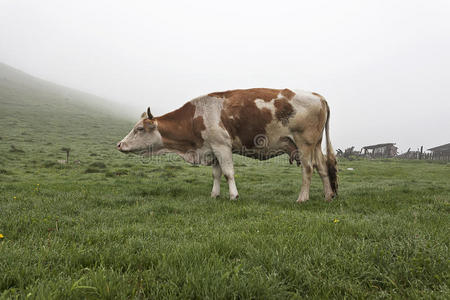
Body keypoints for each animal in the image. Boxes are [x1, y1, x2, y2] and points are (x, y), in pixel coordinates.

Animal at [116, 88, 338, 203]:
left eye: (139, 129)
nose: (120, 144)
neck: (197, 116)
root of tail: (318, 96)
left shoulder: (222, 146)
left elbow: (229, 173)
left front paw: (233, 195)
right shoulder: (212, 148)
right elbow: (216, 174)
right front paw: (214, 194)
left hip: (304, 143)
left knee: (308, 169)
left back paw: (302, 198)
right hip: (315, 144)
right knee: (322, 167)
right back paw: (328, 195)